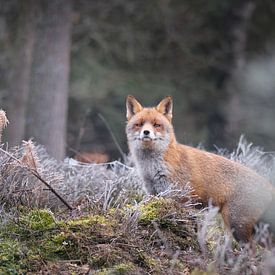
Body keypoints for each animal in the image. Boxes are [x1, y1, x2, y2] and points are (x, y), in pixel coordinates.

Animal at [127, 96, 275, 243]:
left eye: (156, 125)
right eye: (139, 124)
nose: (146, 132)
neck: (151, 169)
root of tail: (268, 185)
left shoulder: (179, 196)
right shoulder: (154, 194)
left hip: (237, 226)